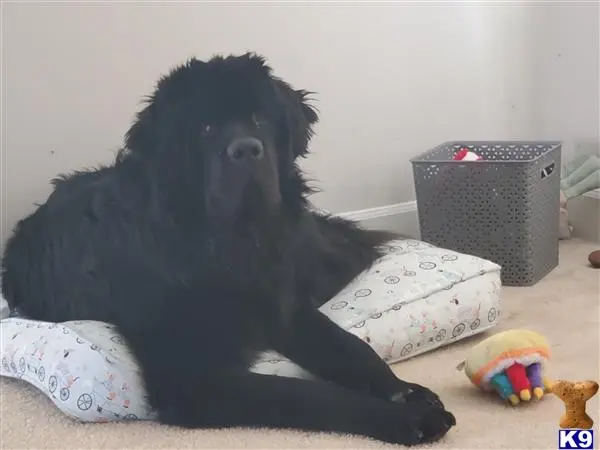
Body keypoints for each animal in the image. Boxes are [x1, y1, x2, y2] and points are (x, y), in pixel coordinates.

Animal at [1, 52, 454, 442]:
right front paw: (408, 417)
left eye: (259, 119)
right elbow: (306, 394)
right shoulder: (194, 378)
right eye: (205, 128)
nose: (247, 150)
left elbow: (350, 346)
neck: (231, 245)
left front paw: (404, 390)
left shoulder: (284, 308)